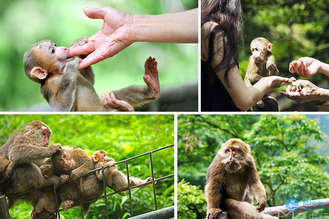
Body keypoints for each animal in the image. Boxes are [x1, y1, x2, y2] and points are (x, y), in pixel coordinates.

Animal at [22, 37, 159, 111]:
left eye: (55, 45)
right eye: (52, 51)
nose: (64, 48)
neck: (57, 73)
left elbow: (89, 81)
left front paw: (80, 44)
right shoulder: (51, 83)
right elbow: (62, 108)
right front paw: (71, 68)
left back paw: (152, 88)